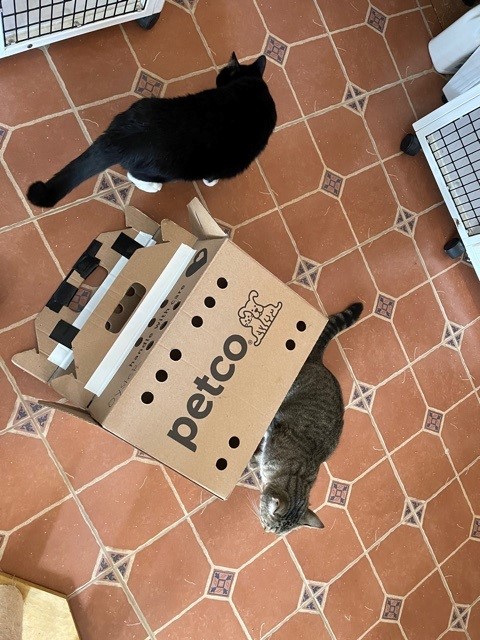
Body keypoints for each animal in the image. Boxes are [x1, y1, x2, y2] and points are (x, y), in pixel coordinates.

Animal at [27, 52, 277, 208]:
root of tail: (123, 136)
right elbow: (213, 175)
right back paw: (153, 187)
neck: (253, 87)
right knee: (132, 174)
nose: (218, 76)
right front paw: (210, 182)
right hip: (166, 169)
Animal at [253, 302, 363, 535]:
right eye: (270, 524)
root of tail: (317, 361)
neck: (294, 475)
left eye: (275, 530)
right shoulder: (274, 429)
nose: (265, 530)